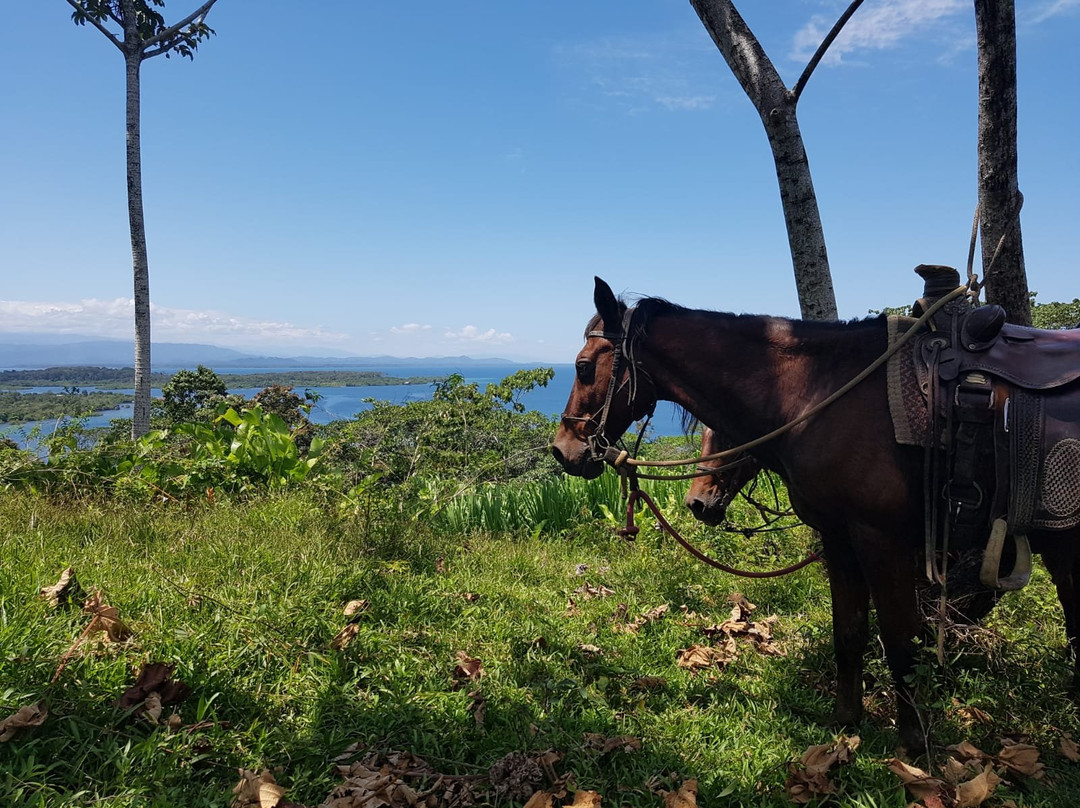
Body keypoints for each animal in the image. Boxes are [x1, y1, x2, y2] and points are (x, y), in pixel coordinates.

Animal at [557, 278, 1080, 751]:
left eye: (583, 367)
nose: (564, 450)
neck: (821, 390)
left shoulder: (883, 539)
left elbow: (899, 639)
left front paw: (913, 742)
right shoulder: (839, 536)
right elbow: (848, 632)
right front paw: (846, 723)